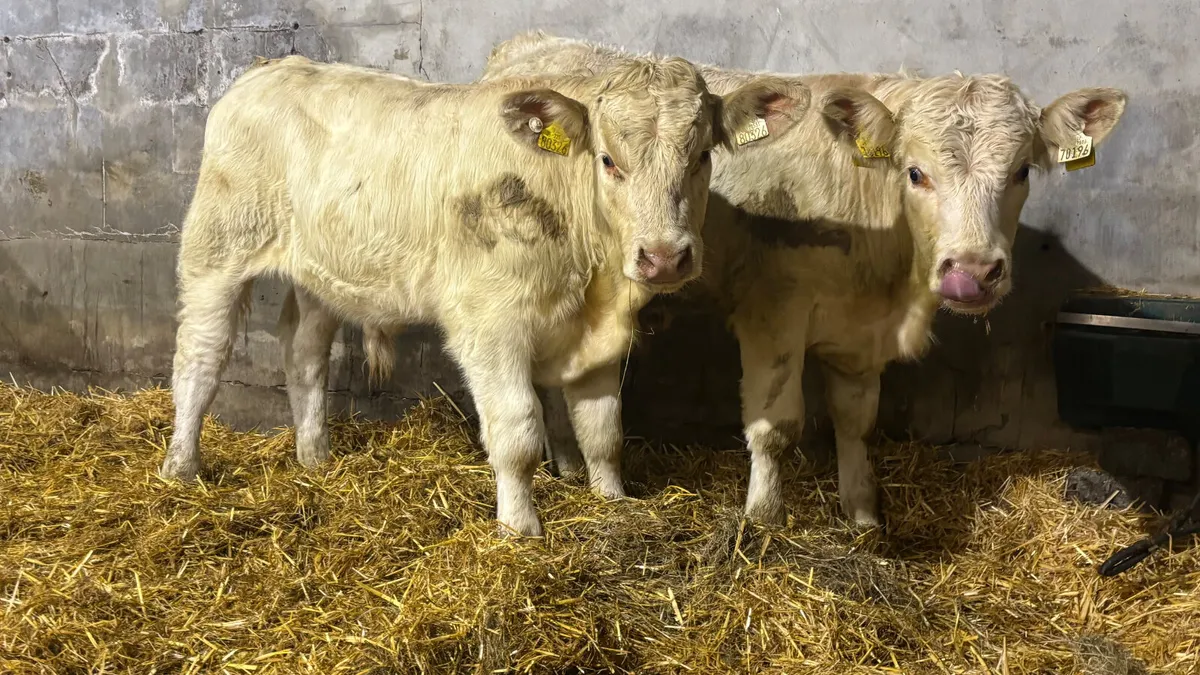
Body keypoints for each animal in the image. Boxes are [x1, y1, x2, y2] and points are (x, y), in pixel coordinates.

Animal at [158, 53, 812, 537]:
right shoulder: (489, 324)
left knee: (305, 356)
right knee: (200, 359)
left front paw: (613, 503)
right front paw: (520, 528)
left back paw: (315, 457)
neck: (591, 280)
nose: (665, 256)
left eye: (702, 156)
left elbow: (603, 432)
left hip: (323, 272)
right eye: (607, 160)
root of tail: (271, 66)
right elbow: (517, 431)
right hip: (216, 249)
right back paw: (181, 468)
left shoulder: (597, 339)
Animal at [481, 32, 1127, 528]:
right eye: (915, 173)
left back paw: (567, 463)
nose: (971, 273)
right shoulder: (773, 316)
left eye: (1021, 172)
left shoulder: (860, 338)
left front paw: (862, 516)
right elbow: (775, 426)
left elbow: (856, 423)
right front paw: (764, 517)